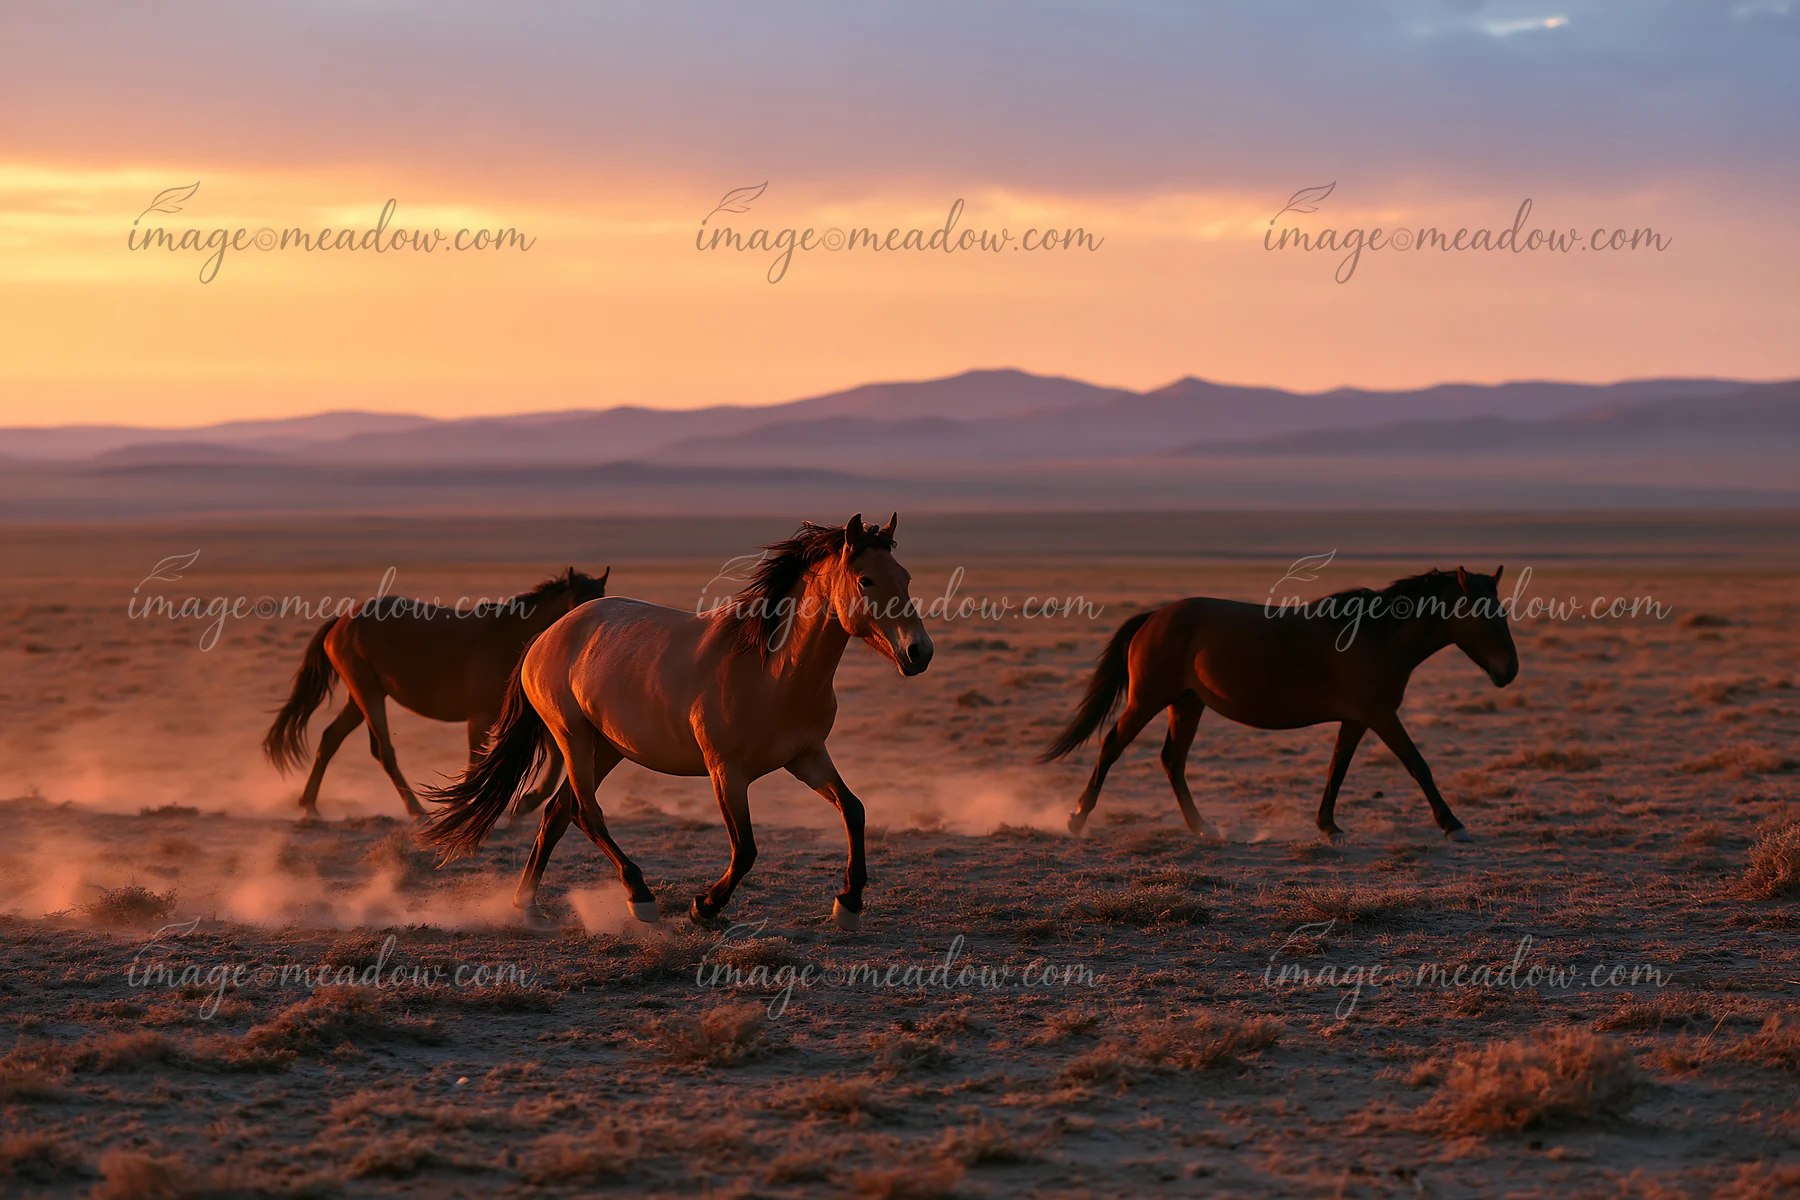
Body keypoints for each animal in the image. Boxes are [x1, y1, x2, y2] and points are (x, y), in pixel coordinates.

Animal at [263, 567, 610, 820]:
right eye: (578, 603)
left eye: (604, 598)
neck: (510, 636)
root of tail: (342, 620)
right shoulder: (480, 717)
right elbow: (477, 759)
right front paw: (467, 804)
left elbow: (557, 756)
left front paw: (527, 801)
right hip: (367, 693)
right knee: (382, 750)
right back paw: (415, 809)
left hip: (360, 697)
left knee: (331, 739)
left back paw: (309, 804)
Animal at [418, 514, 932, 933]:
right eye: (865, 579)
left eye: (905, 577)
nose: (919, 652)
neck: (771, 671)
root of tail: (547, 635)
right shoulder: (727, 772)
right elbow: (745, 849)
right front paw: (703, 907)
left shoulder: (806, 758)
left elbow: (854, 810)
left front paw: (849, 903)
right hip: (573, 739)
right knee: (585, 812)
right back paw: (639, 898)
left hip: (608, 747)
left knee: (558, 812)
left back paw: (526, 905)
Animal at [1041, 567, 1518, 843]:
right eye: (1483, 613)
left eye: (1504, 611)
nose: (1509, 671)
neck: (1375, 636)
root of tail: (1155, 616)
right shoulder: (1381, 716)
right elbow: (1418, 765)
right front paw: (1452, 824)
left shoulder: (1357, 719)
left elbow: (1337, 768)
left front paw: (1328, 825)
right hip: (1147, 699)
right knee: (1112, 747)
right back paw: (1078, 818)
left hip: (1187, 704)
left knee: (1172, 761)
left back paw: (1202, 827)